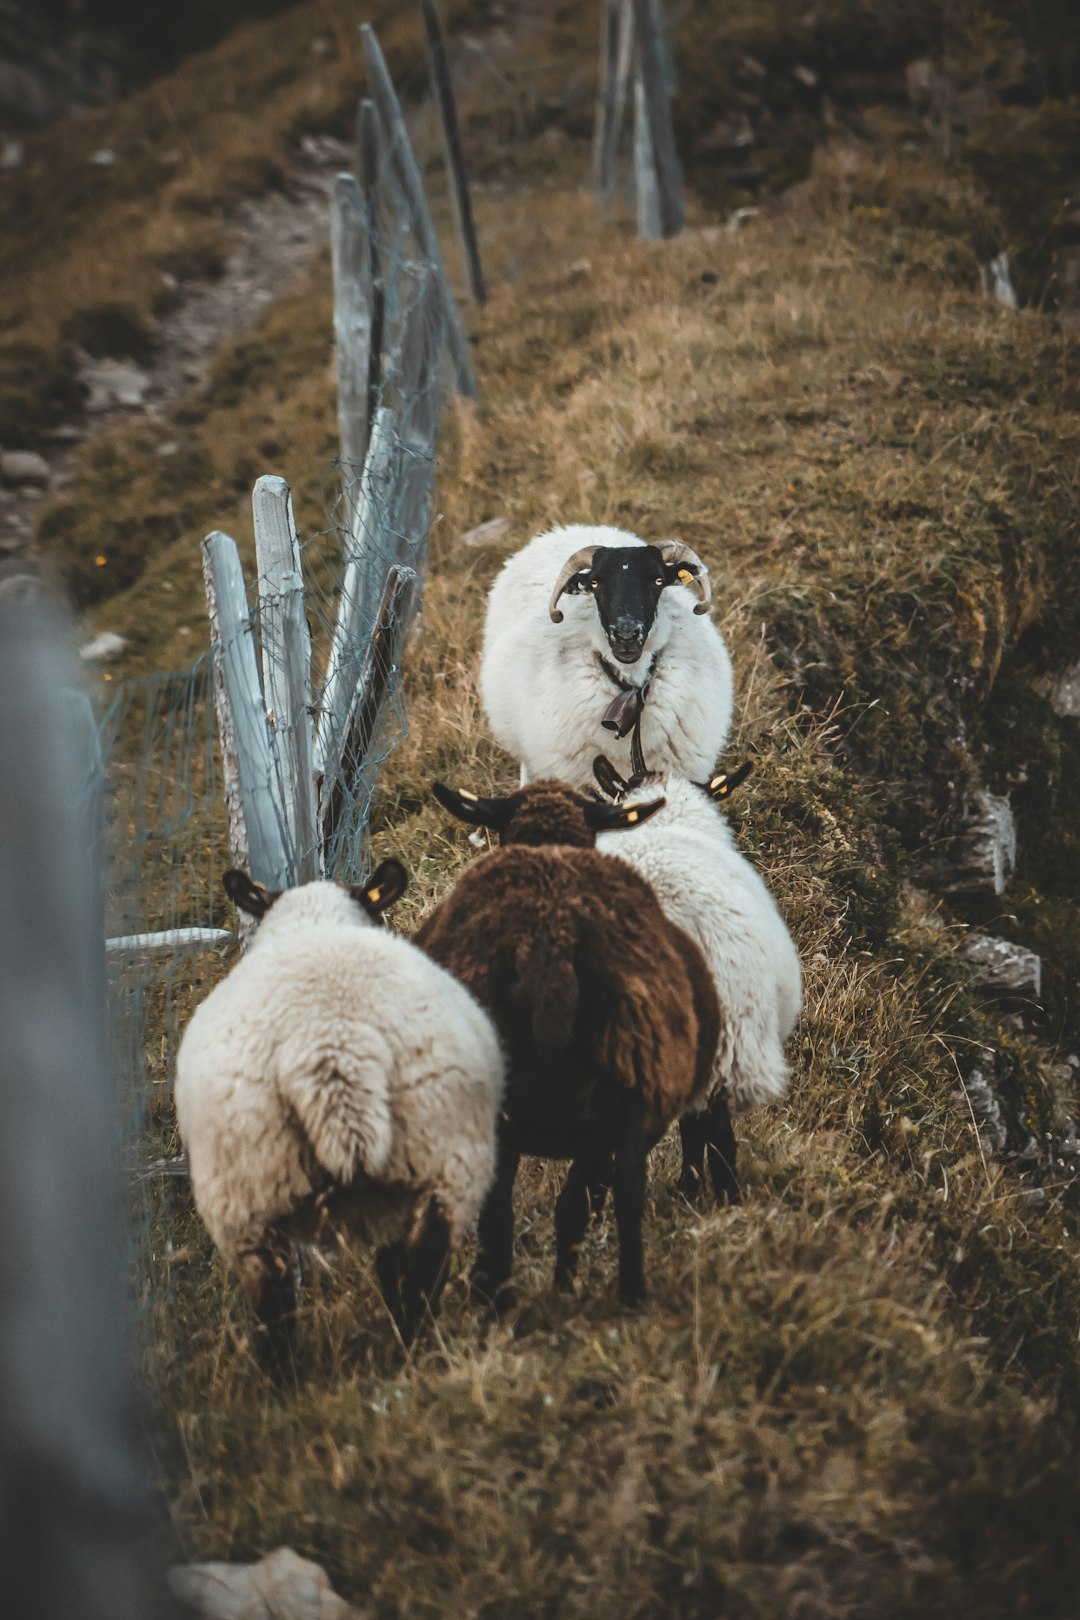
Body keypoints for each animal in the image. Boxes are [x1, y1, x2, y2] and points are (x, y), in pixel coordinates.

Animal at [417, 777, 725, 1308]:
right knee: (620, 1190)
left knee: (508, 1213)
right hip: (623, 1100)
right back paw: (624, 1294)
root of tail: (550, 946)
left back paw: (501, 1295)